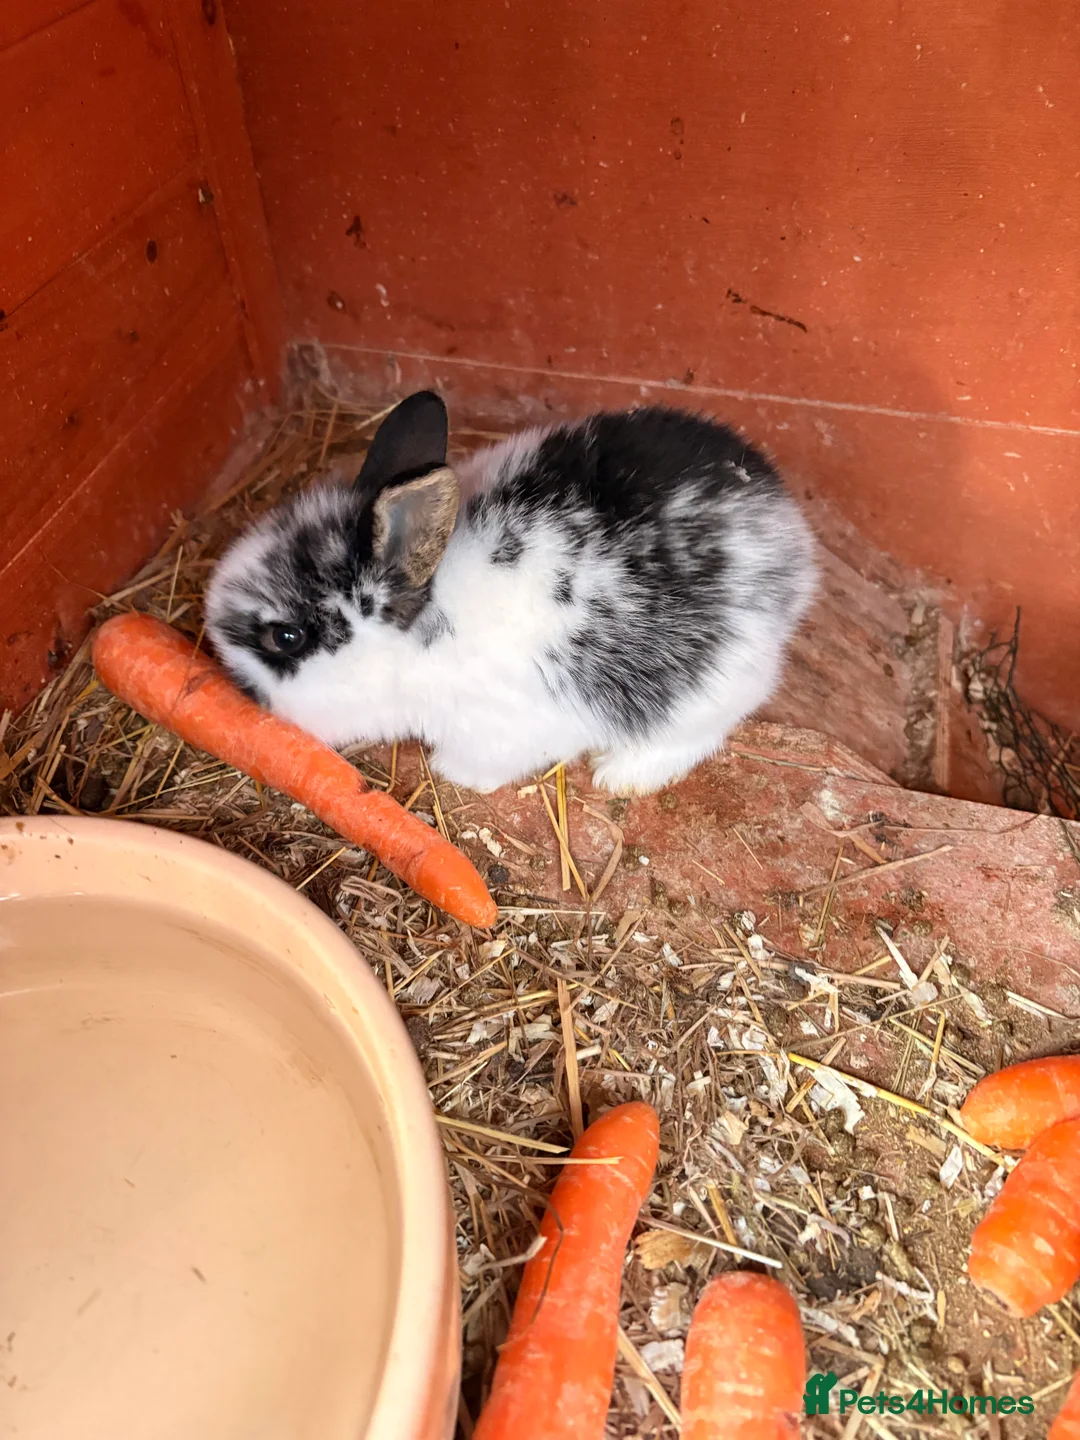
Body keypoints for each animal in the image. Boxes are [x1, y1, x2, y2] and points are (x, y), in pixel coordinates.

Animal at [204, 391, 817, 796]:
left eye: (286, 637)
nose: (242, 692)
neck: (420, 633)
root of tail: (789, 537)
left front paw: (453, 773)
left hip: (707, 688)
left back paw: (621, 775)